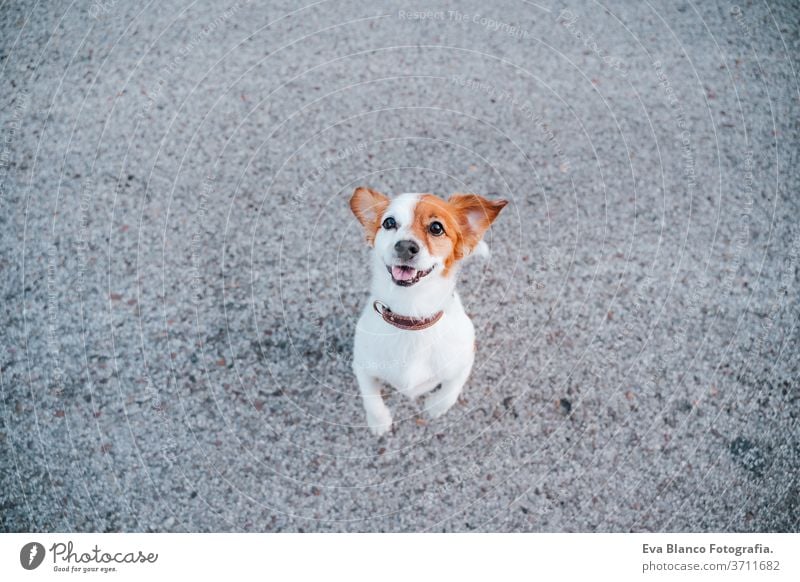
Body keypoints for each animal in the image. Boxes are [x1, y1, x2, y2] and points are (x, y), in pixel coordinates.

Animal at [348, 189, 506, 436]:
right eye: (389, 222)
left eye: (436, 228)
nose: (405, 246)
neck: (411, 316)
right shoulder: (361, 365)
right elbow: (371, 398)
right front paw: (379, 422)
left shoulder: (466, 358)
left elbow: (451, 390)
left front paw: (435, 406)